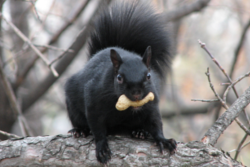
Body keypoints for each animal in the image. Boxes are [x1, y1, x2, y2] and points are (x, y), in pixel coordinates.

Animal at [65, 0, 177, 164]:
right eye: (119, 78)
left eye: (149, 76)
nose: (136, 93)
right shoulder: (93, 100)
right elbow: (97, 127)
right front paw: (102, 147)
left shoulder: (152, 103)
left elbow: (155, 122)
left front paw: (163, 140)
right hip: (72, 102)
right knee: (79, 119)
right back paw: (79, 130)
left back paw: (140, 132)